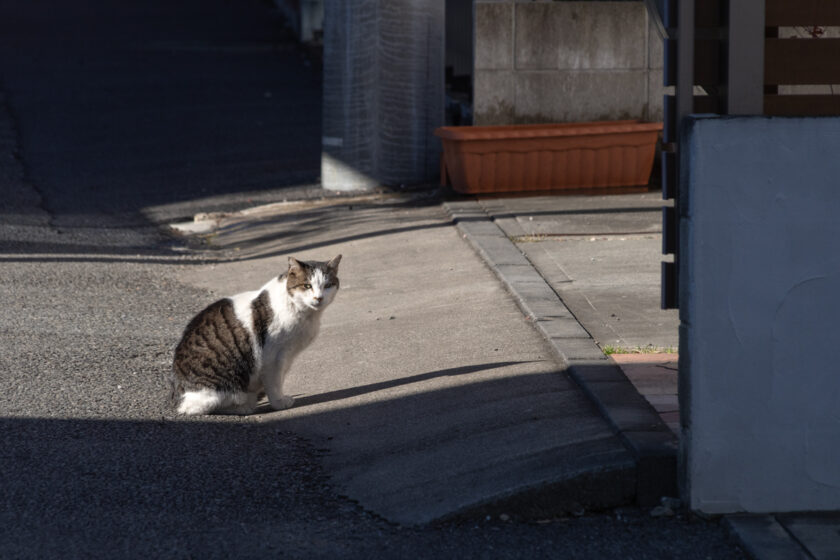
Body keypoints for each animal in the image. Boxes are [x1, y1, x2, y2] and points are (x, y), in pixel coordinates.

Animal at [171, 256, 342, 414]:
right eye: (307, 286)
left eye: (327, 286)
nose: (318, 298)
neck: (306, 314)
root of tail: (177, 397)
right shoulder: (271, 358)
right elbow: (274, 383)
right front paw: (279, 402)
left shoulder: (286, 356)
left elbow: (279, 379)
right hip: (220, 388)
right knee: (201, 408)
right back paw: (244, 406)